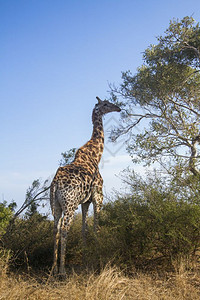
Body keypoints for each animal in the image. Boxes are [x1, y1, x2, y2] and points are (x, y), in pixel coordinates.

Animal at [50, 97, 120, 276]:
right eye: (106, 104)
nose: (118, 108)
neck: (96, 155)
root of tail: (55, 183)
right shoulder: (98, 197)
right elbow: (96, 228)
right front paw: (98, 258)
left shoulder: (85, 202)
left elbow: (84, 229)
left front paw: (86, 258)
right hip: (69, 205)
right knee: (65, 229)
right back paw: (62, 271)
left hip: (56, 205)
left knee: (56, 229)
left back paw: (53, 269)